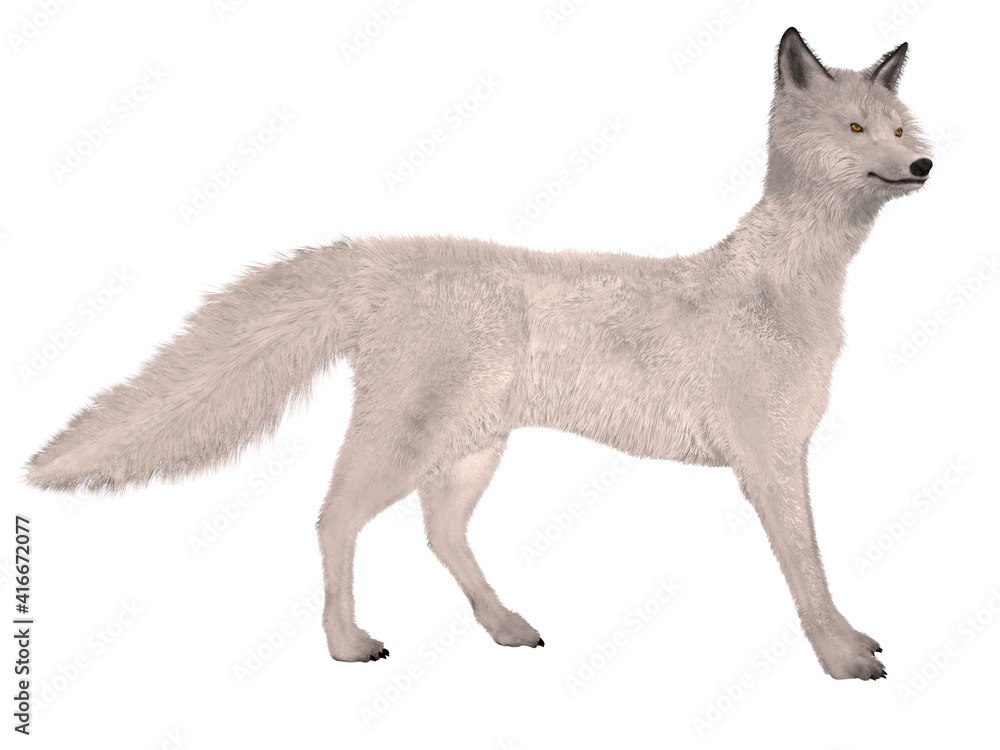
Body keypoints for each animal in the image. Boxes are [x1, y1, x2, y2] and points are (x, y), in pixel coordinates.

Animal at [25, 28, 932, 680]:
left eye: (899, 128)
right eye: (856, 130)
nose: (924, 164)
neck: (784, 289)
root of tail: (383, 256)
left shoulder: (779, 457)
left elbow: (814, 568)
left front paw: (846, 643)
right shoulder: (767, 461)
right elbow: (807, 570)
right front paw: (838, 656)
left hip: (470, 451)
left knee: (439, 535)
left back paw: (502, 626)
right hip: (412, 444)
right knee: (332, 518)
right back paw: (346, 643)